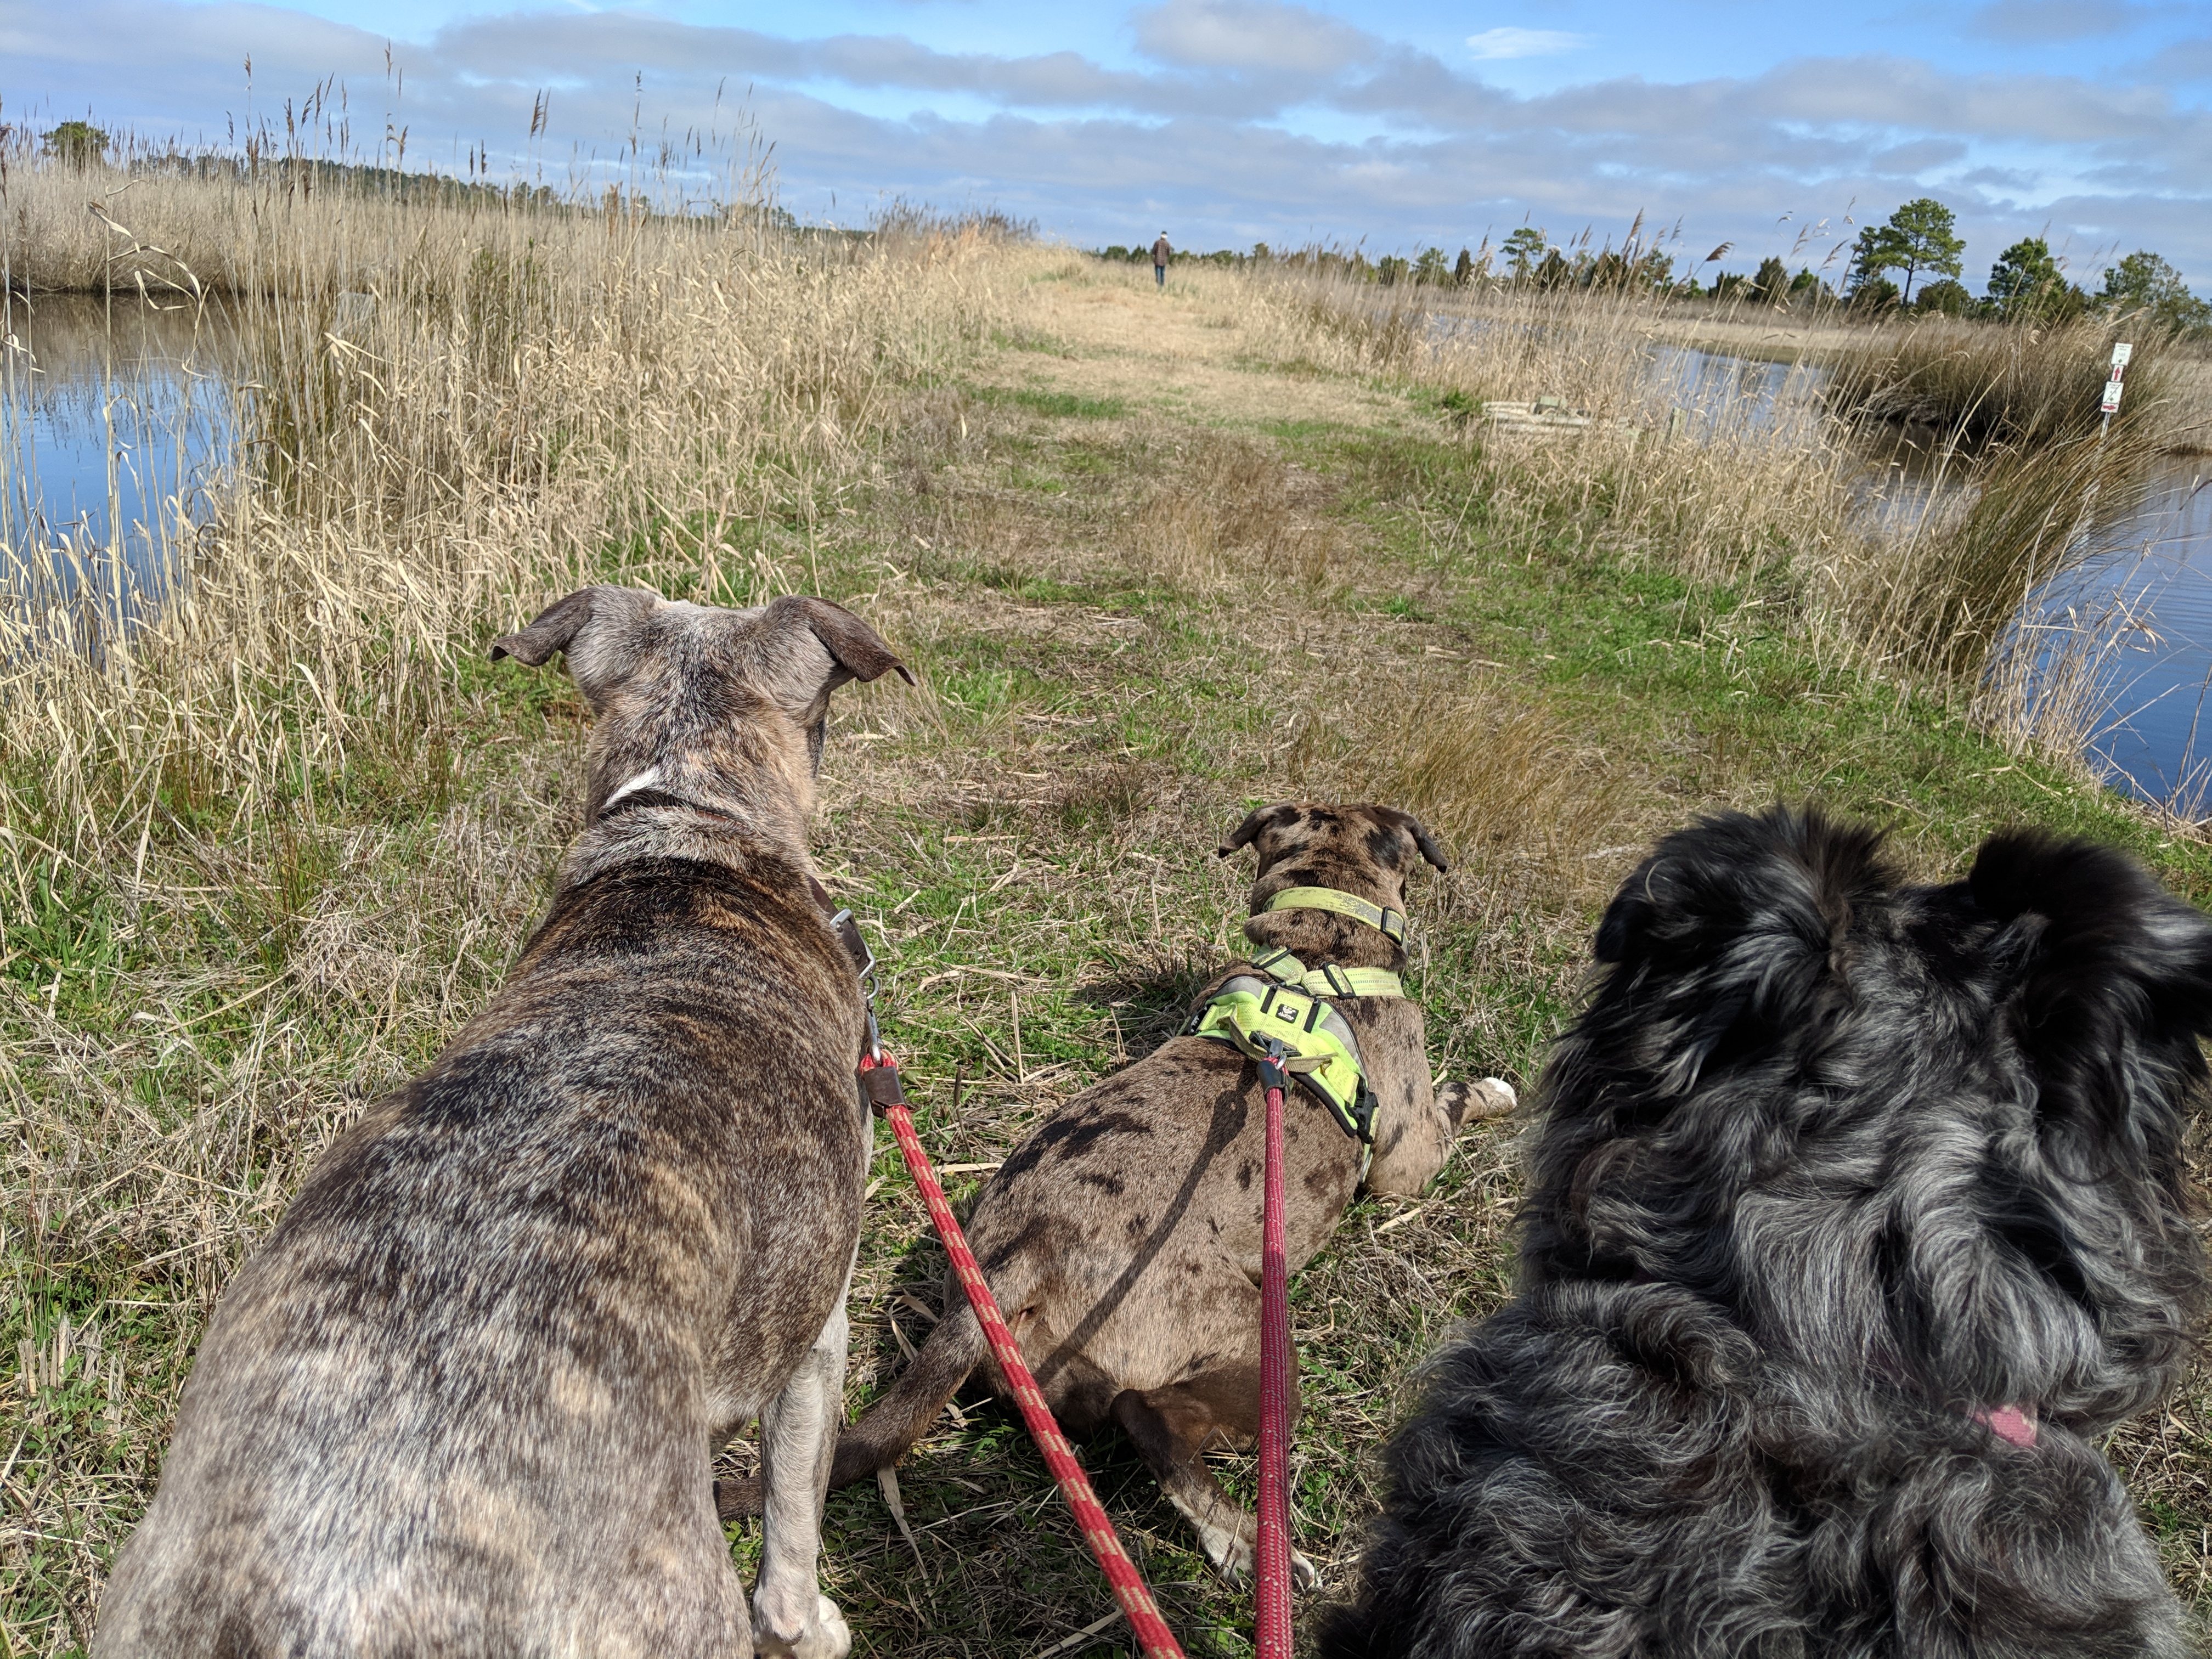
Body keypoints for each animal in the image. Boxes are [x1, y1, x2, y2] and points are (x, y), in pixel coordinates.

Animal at [95, 588, 907, 1659]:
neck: (686, 820)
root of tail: (340, 1594)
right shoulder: (817, 1338)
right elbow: (791, 1536)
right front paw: (814, 1626)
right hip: (670, 1597)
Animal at [725, 805, 1522, 1583]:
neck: (1320, 946)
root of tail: (1025, 1254)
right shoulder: (1408, 1154)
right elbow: (1454, 1103)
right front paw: (1497, 1091)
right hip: (1255, 1343)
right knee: (1151, 1419)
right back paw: (1248, 1546)